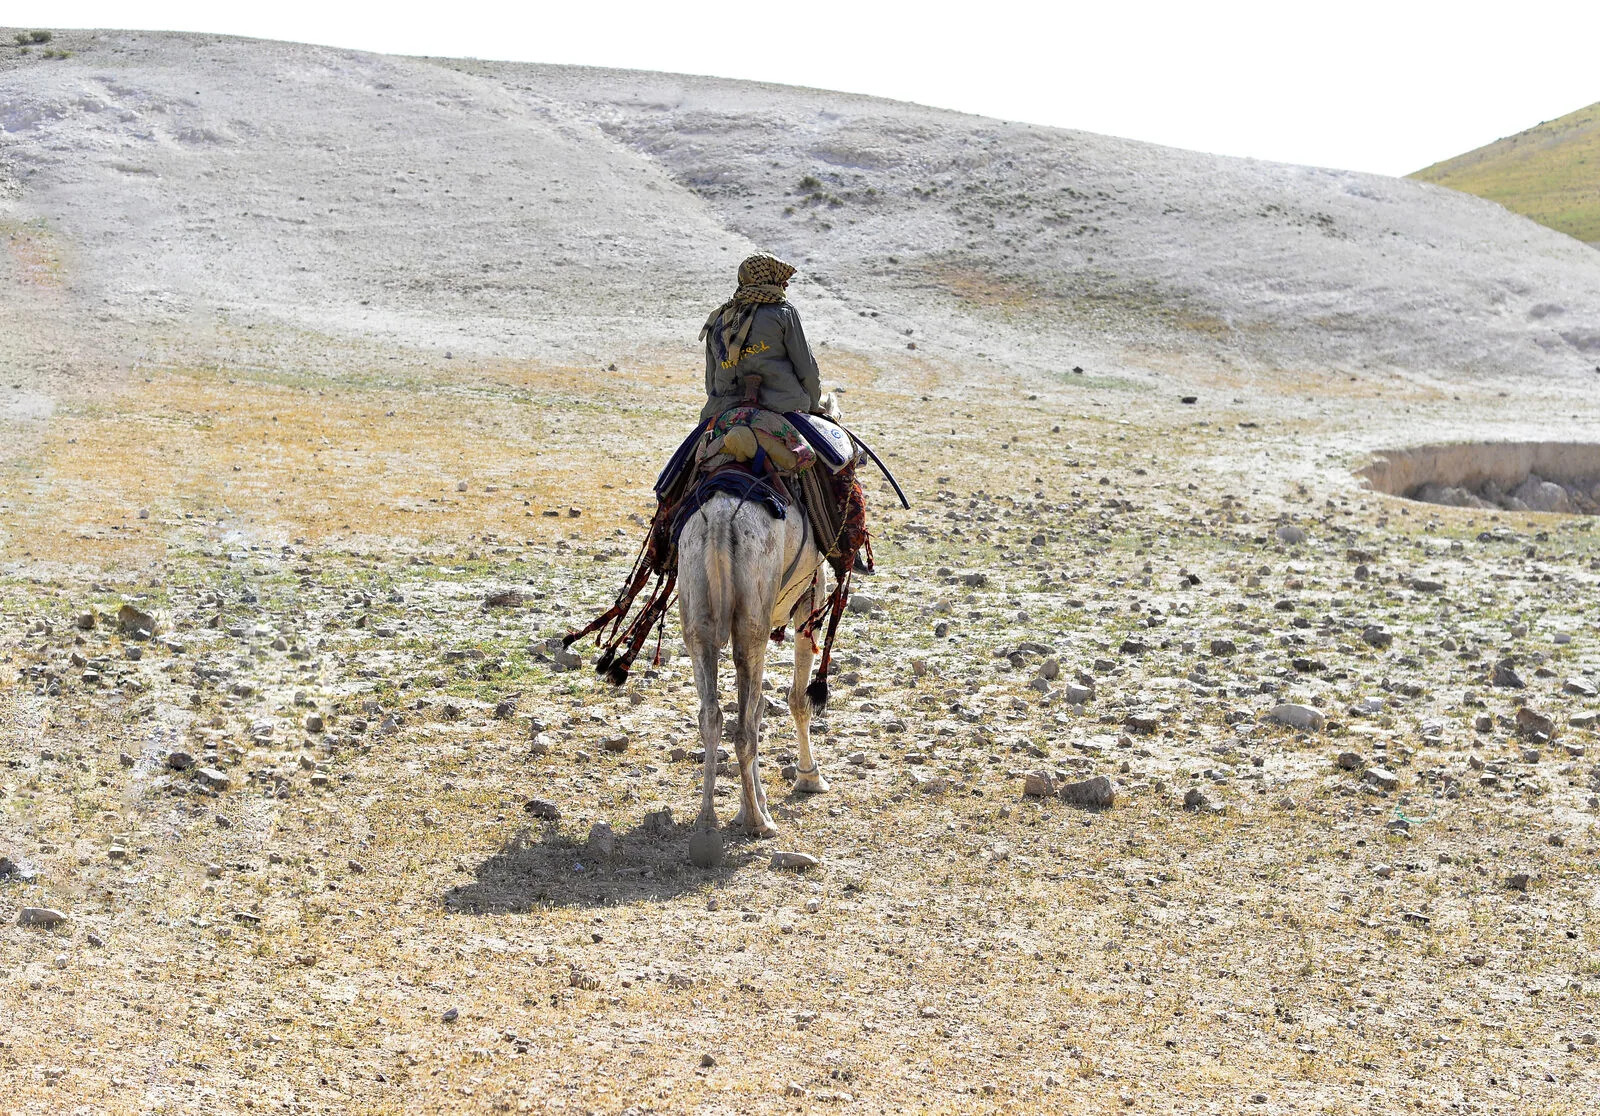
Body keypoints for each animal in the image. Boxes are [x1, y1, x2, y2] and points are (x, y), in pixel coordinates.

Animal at [672, 486, 832, 844]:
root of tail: (719, 520)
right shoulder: (812, 594)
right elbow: (797, 699)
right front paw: (809, 777)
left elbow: (757, 707)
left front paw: (749, 805)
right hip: (753, 621)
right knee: (743, 729)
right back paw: (759, 823)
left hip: (696, 612)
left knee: (712, 717)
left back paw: (707, 820)